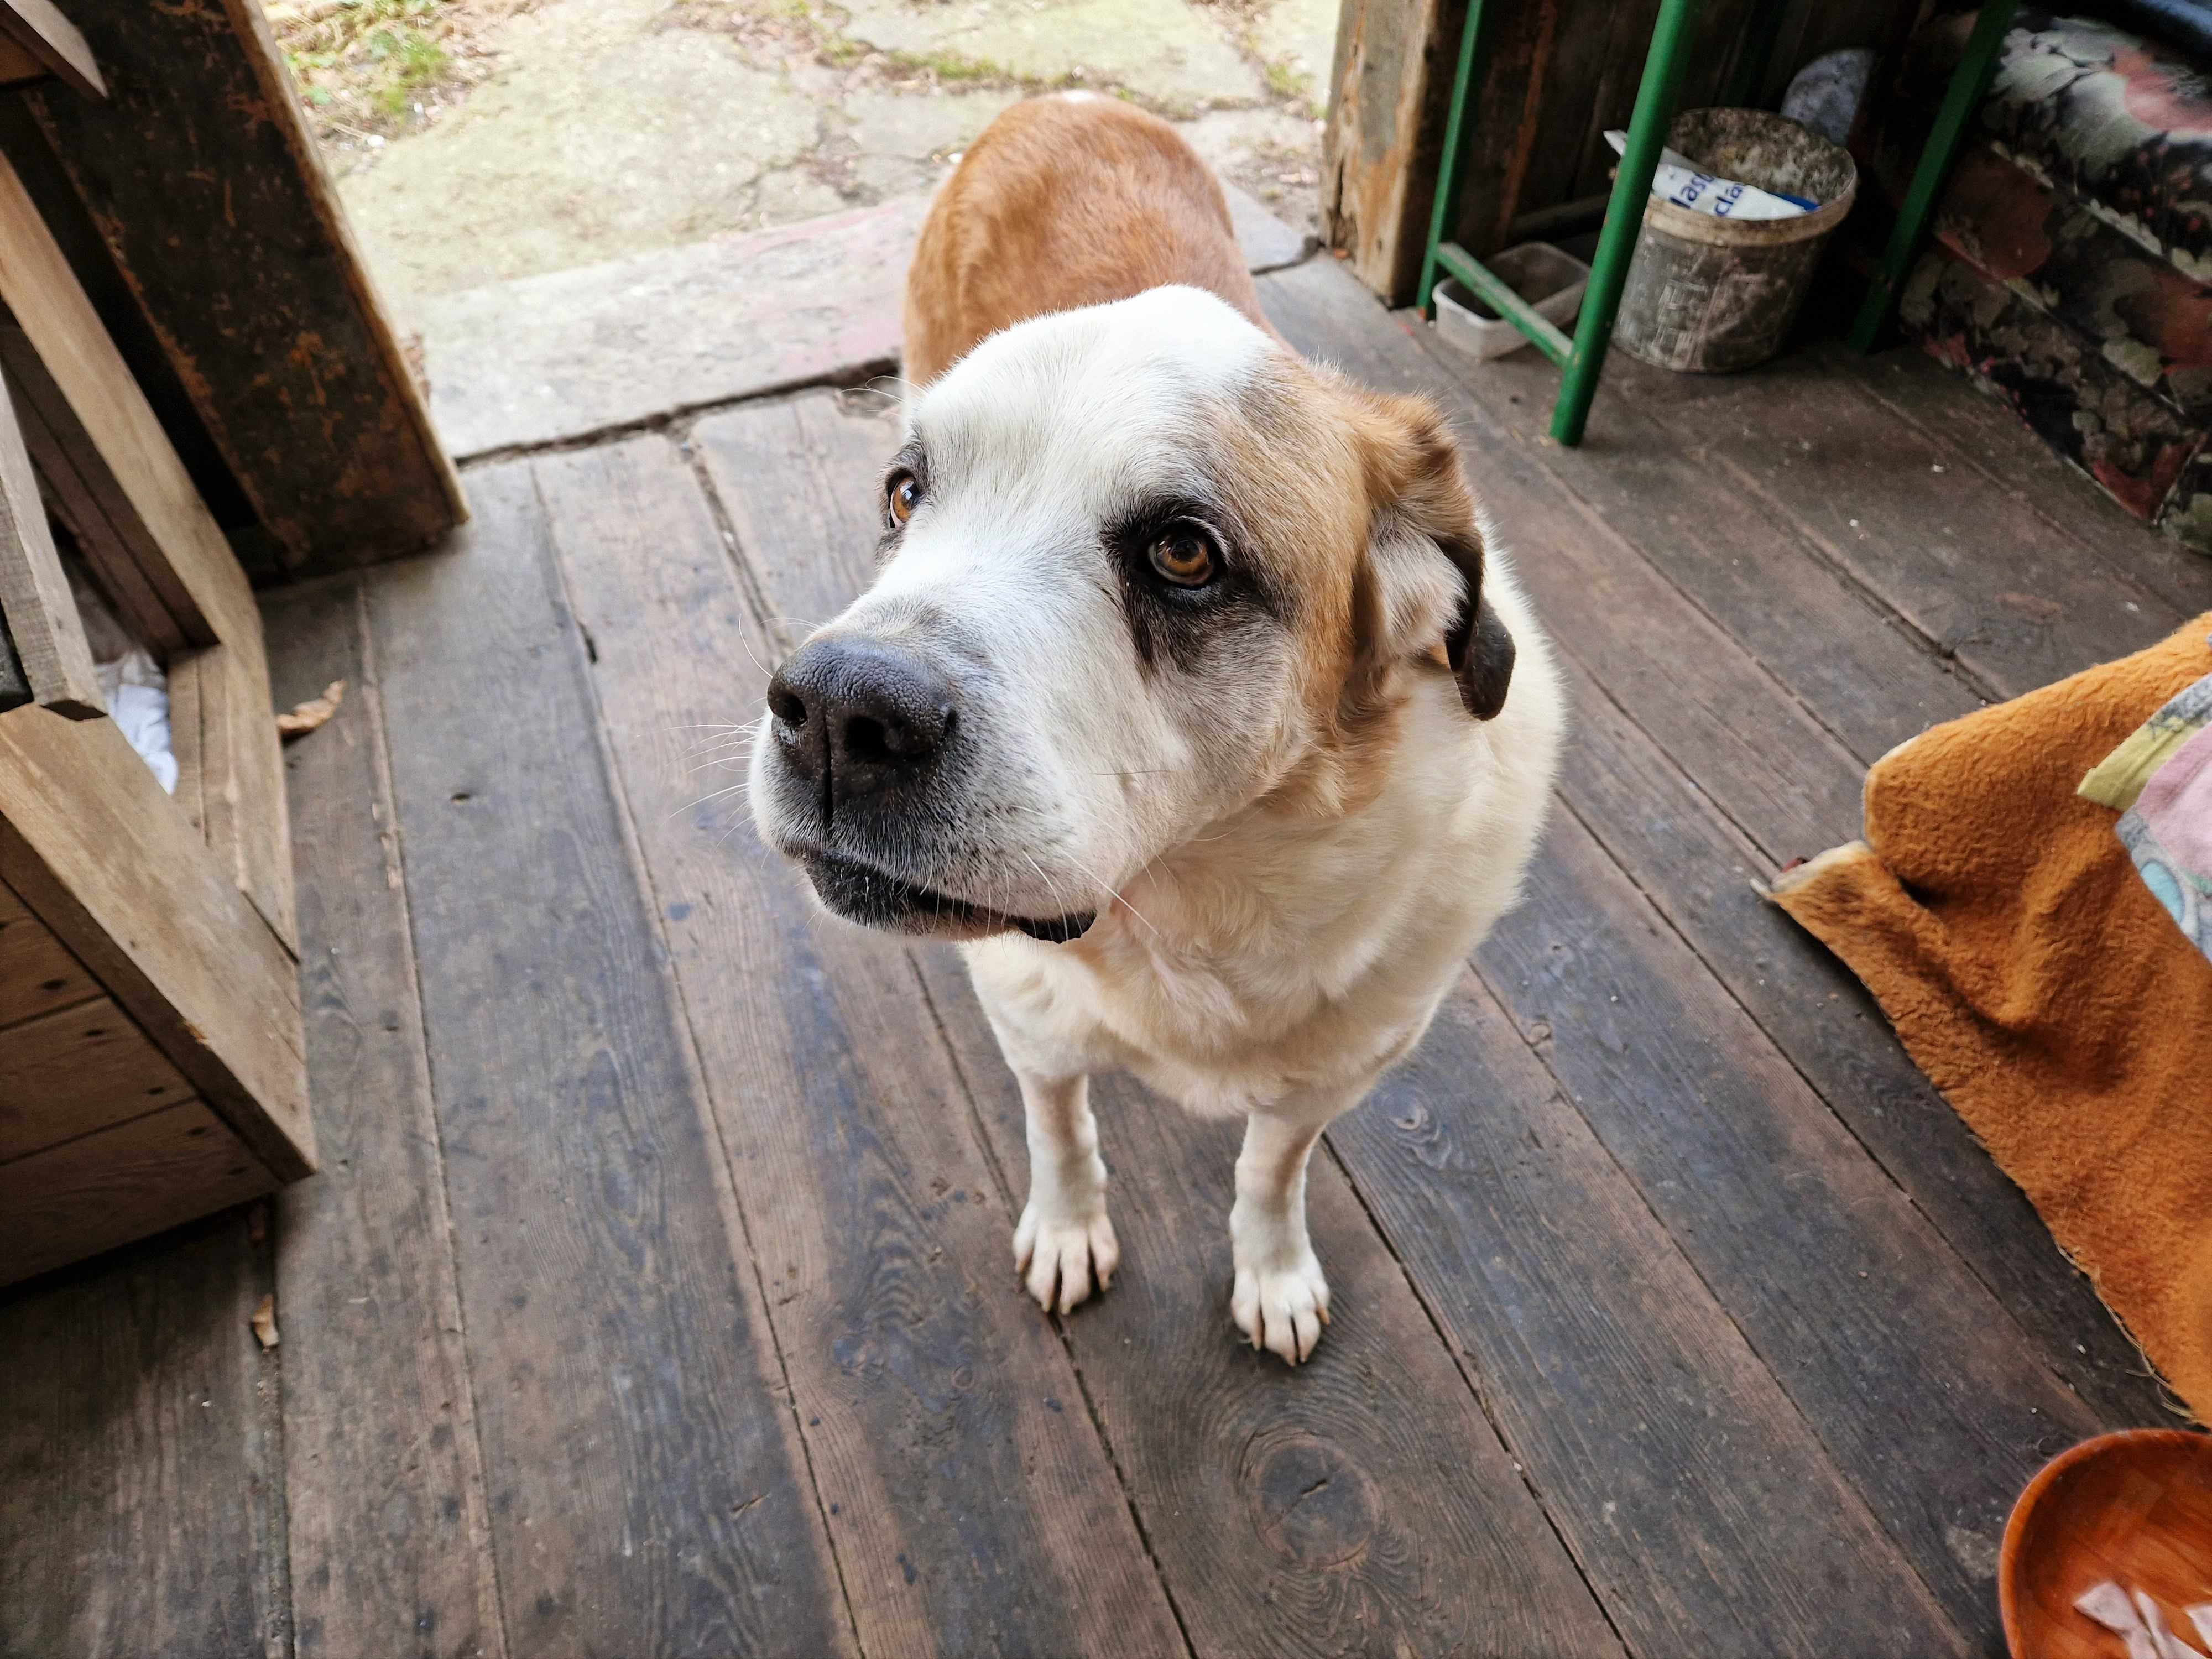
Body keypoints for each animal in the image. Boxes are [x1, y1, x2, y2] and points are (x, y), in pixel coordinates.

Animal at [752, 94, 1566, 1363]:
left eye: (1183, 553)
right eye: (906, 496)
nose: (837, 710)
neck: (1192, 903)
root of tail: (1062, 98)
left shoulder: (1326, 1081)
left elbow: (1270, 1173)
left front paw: (1272, 1274)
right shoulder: (1031, 1025)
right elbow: (1059, 1130)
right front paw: (1068, 1229)